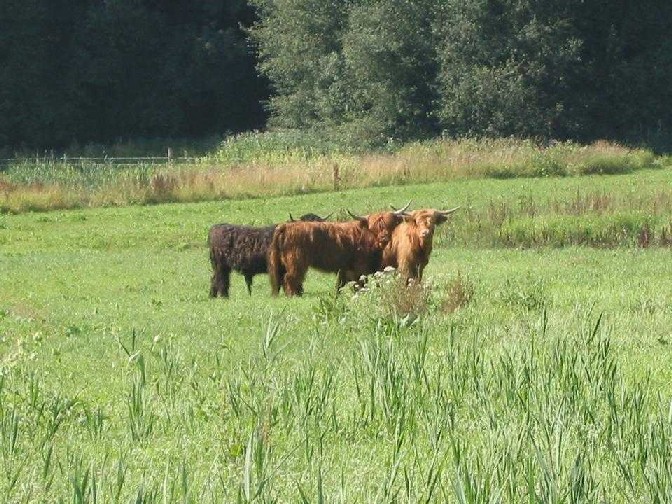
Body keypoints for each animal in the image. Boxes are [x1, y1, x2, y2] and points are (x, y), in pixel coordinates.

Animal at [266, 211, 404, 298]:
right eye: (375, 227)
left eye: (390, 224)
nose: (384, 238)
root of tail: (285, 226)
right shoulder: (360, 267)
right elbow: (360, 282)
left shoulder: (345, 269)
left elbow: (341, 284)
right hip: (296, 261)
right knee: (290, 278)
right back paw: (293, 296)